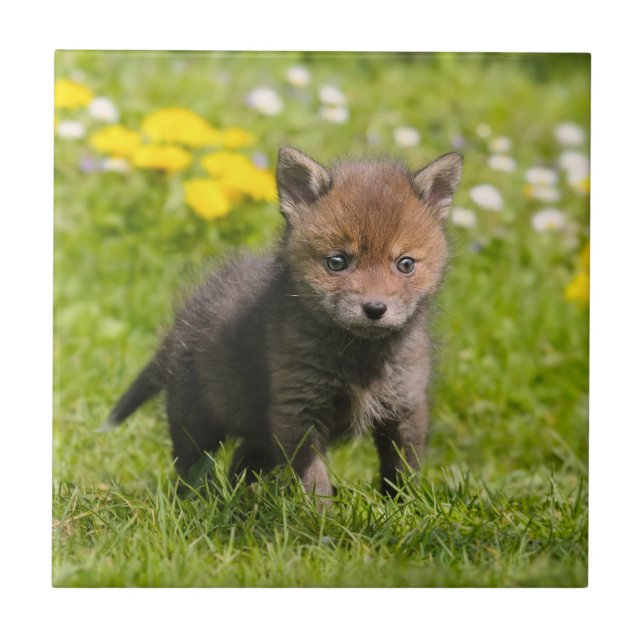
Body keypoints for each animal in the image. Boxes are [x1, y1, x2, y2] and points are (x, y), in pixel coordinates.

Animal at [103, 146, 463, 498]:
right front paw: (321, 514)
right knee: (191, 469)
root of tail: (180, 322)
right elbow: (313, 478)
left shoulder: (405, 406)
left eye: (405, 264)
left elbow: (402, 470)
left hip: (257, 433)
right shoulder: (297, 409)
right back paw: (198, 501)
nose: (375, 309)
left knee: (240, 463)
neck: (360, 358)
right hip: (197, 421)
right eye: (337, 262)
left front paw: (403, 507)